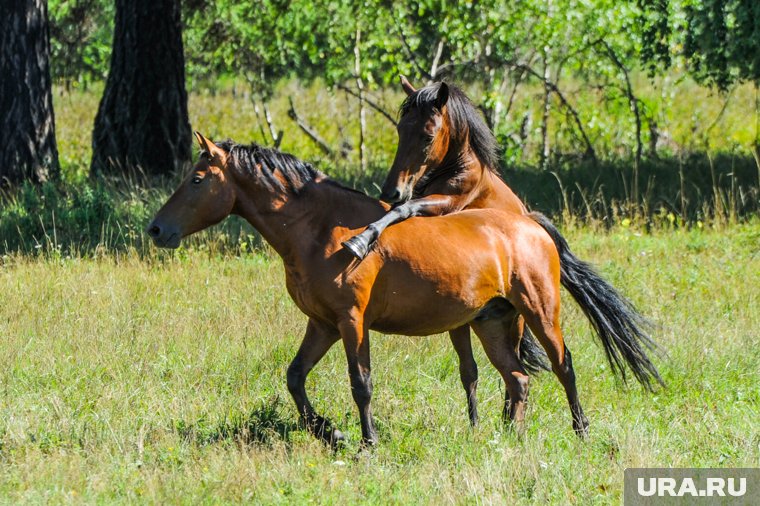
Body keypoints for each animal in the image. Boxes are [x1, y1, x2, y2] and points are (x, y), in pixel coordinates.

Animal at [147, 133, 660, 446]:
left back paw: (581, 431)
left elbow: (361, 384)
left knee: (563, 366)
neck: (320, 229)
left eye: (196, 179)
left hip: (540, 311)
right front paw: (329, 433)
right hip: (494, 324)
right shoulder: (322, 323)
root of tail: (530, 224)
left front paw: (367, 442)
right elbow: (295, 377)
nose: (156, 229)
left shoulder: (352, 322)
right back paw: (505, 438)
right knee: (518, 378)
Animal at [342, 79, 664, 404]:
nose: (391, 190)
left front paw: (361, 240)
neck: (460, 167)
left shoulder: (444, 204)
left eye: (428, 135)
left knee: (532, 368)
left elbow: (403, 210)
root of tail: (535, 223)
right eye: (400, 129)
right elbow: (469, 370)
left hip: (525, 315)